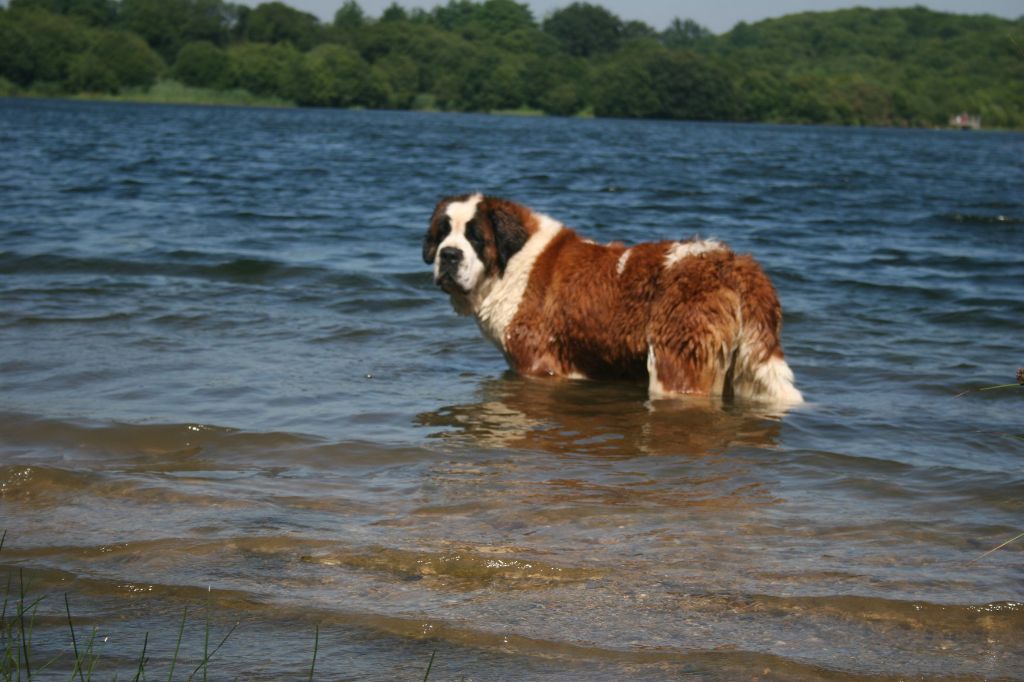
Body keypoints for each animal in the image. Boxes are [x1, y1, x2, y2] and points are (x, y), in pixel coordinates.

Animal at [419, 191, 802, 403]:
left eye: (475, 238)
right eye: (442, 234)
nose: (449, 255)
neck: (511, 262)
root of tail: (733, 263)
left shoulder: (537, 364)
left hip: (675, 361)